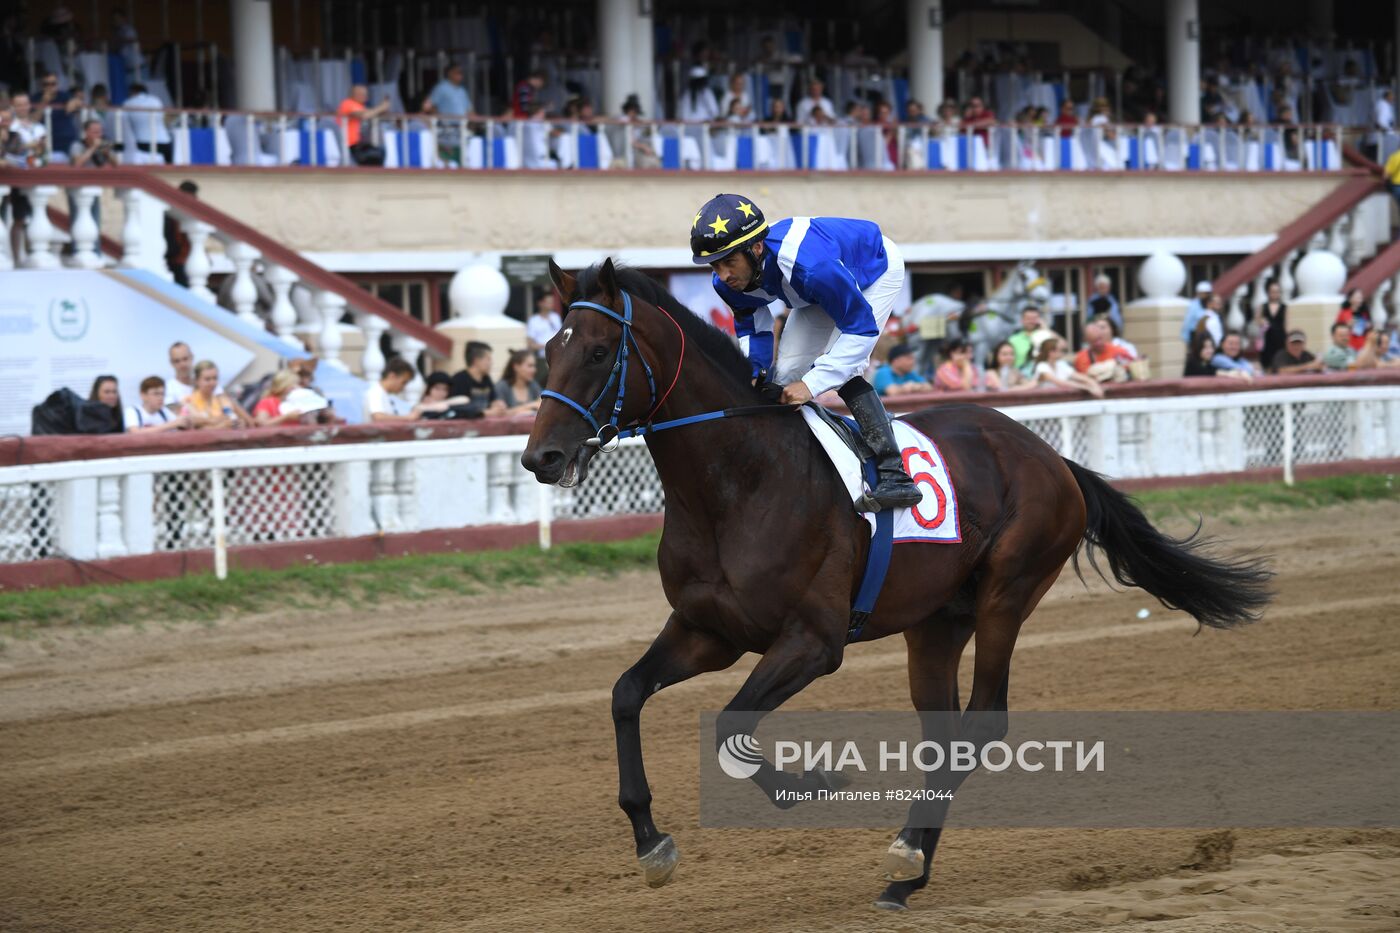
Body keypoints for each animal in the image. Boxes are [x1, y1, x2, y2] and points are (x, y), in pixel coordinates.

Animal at [520, 256, 1276, 907]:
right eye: (547, 352)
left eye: (597, 353)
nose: (540, 457)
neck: (737, 483)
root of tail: (1051, 455)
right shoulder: (708, 631)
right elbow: (625, 694)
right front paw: (652, 843)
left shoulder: (814, 641)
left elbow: (733, 726)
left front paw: (810, 783)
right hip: (937, 622)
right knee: (943, 733)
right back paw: (906, 875)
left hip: (1008, 591)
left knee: (983, 720)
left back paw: (908, 850)